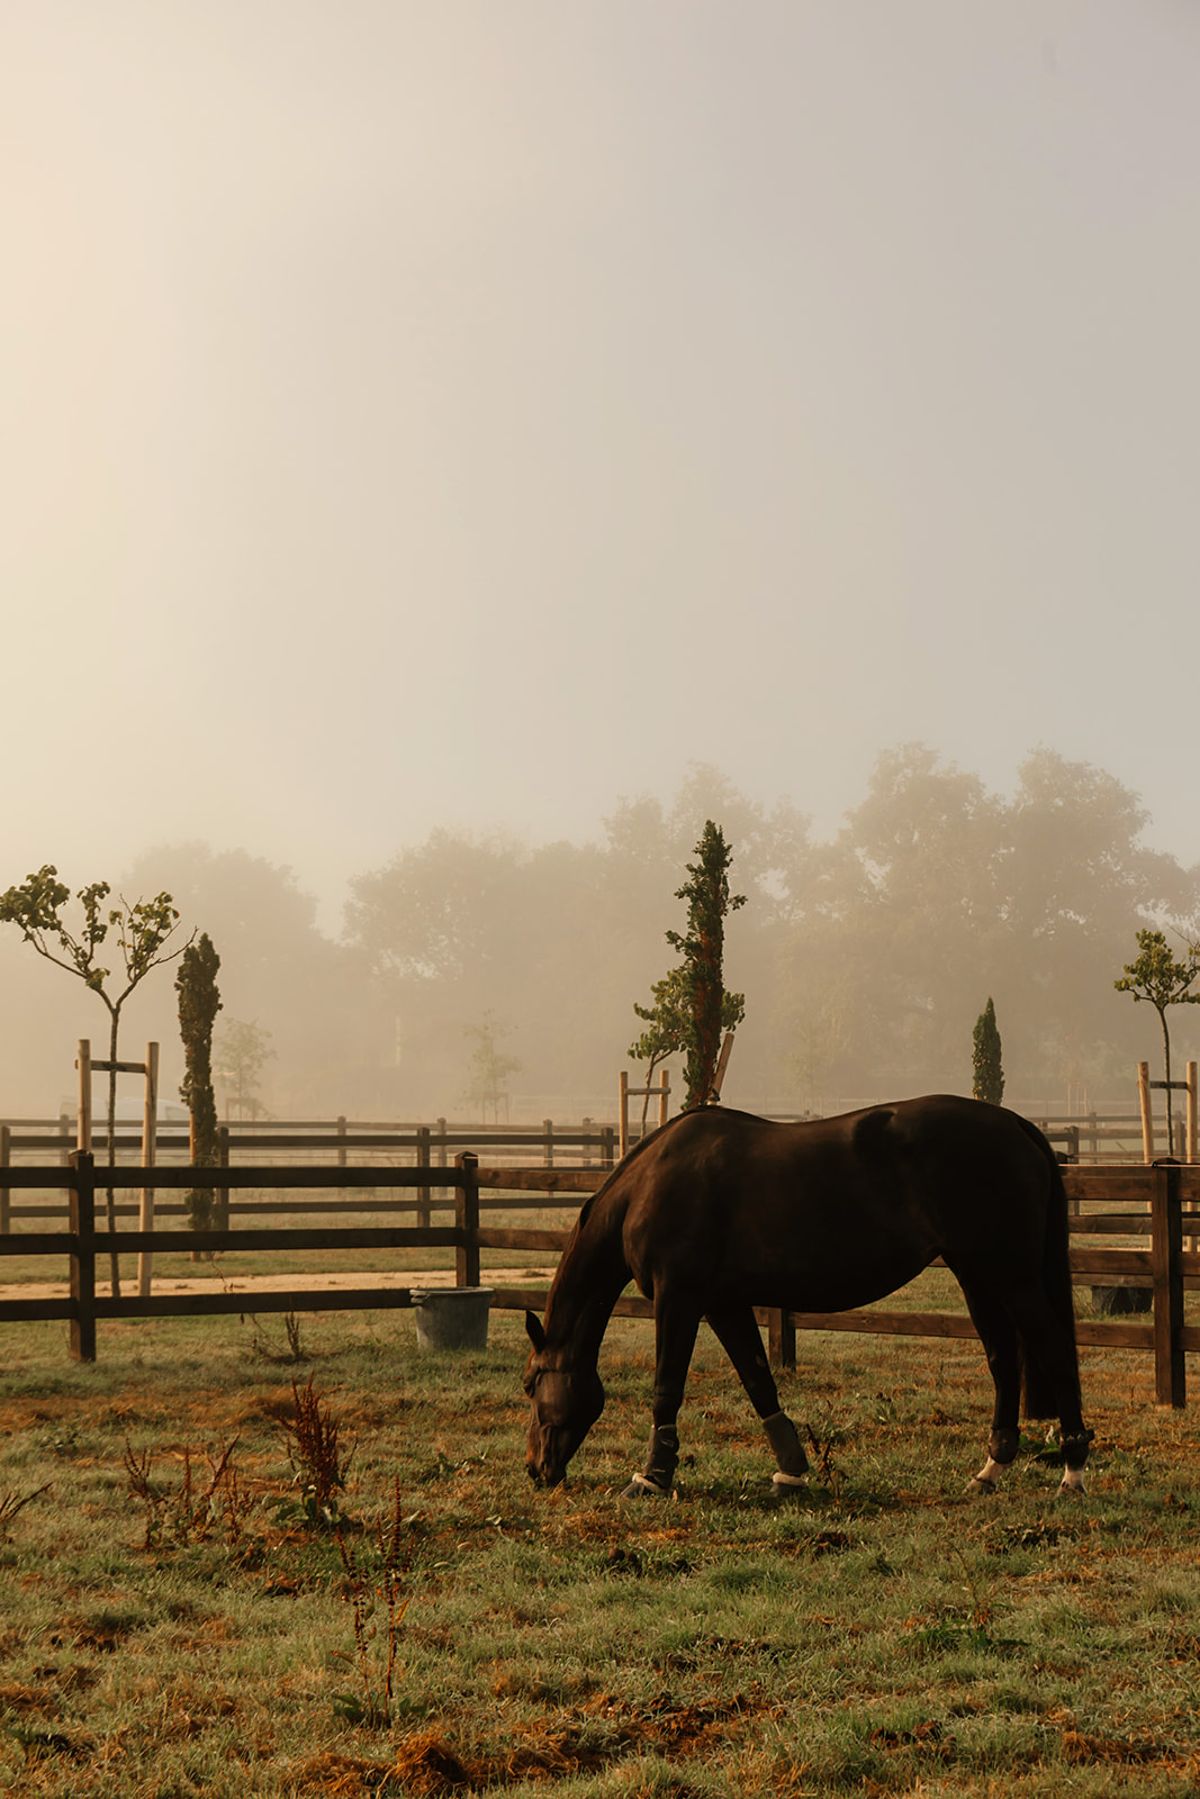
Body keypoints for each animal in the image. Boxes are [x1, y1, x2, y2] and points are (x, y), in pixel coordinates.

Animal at [523, 1096, 1093, 1499]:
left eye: (530, 1385)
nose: (535, 1469)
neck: (648, 1184)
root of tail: (1016, 1125)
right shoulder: (724, 1304)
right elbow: (759, 1382)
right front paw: (792, 1471)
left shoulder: (678, 1299)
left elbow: (667, 1387)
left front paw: (651, 1477)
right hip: (977, 1277)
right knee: (1003, 1363)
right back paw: (991, 1470)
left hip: (1012, 1277)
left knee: (1055, 1353)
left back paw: (1072, 1473)